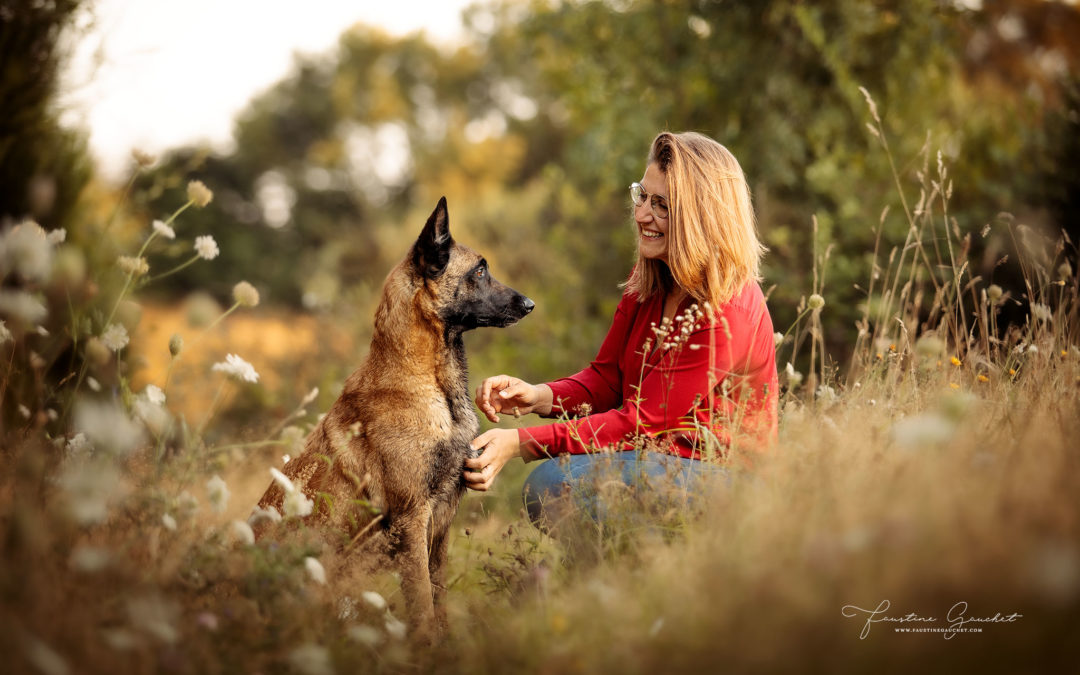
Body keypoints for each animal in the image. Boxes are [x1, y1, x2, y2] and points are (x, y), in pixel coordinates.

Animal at [253, 198, 531, 635]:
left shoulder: (441, 522)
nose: (530, 305)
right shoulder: (411, 518)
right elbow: (422, 603)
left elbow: (439, 594)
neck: (428, 382)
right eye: (479, 271)